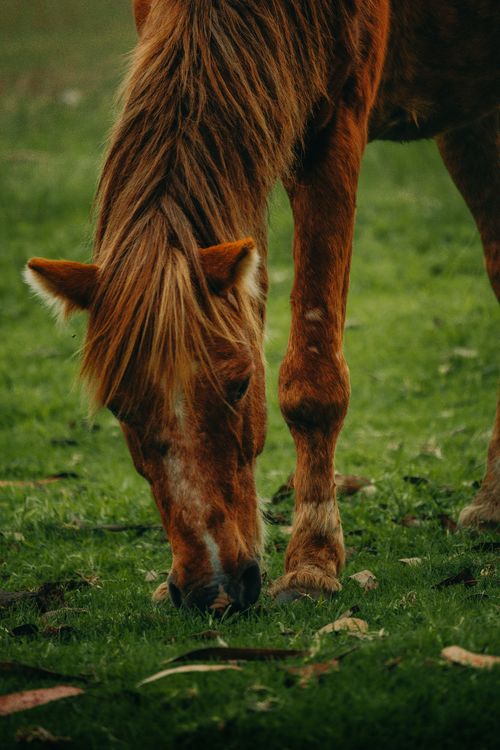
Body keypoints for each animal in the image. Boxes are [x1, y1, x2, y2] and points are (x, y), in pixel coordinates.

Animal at [25, 0, 499, 612]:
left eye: (240, 384)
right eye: (119, 407)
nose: (211, 592)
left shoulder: (331, 130)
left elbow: (313, 381)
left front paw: (312, 563)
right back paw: (490, 503)